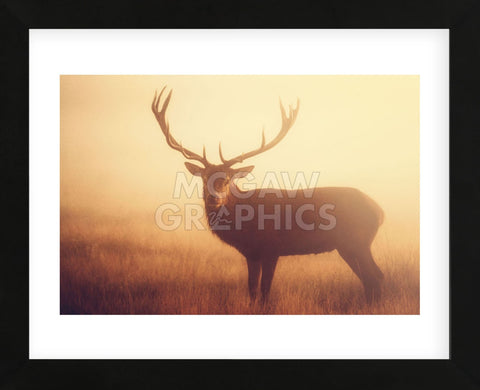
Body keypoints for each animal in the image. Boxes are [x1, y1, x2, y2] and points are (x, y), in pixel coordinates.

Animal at [152, 86, 384, 304]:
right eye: (204, 178)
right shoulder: (251, 253)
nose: (214, 198)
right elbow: (252, 290)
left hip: (357, 241)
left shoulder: (272, 249)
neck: (244, 224)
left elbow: (265, 291)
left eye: (228, 179)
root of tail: (380, 212)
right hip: (349, 246)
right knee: (371, 277)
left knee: (374, 276)